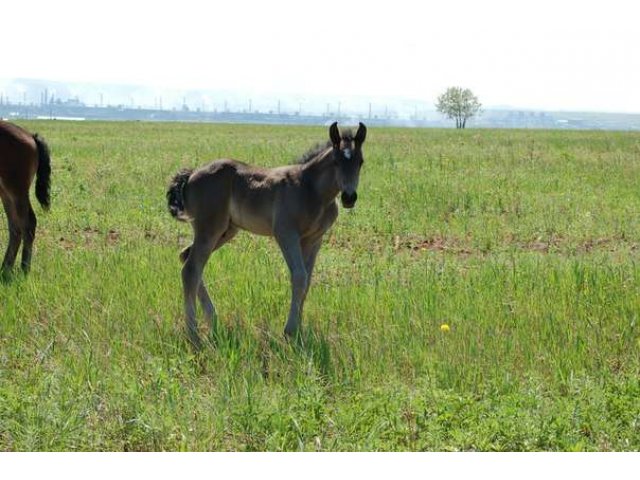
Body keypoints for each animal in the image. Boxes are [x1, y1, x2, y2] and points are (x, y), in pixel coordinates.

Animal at [0, 121, 51, 278]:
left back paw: (24, 269)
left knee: (28, 223)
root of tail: (30, 136)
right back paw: (5, 269)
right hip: (6, 192)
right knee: (15, 227)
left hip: (17, 190)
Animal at [168, 122, 368, 346]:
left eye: (360, 162)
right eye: (335, 161)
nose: (349, 197)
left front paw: (299, 331)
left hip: (226, 231)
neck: (311, 189)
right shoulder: (286, 233)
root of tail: (191, 175)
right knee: (191, 270)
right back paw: (194, 335)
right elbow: (299, 276)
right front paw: (290, 331)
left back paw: (213, 320)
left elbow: (307, 281)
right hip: (209, 228)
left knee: (186, 257)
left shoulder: (314, 239)